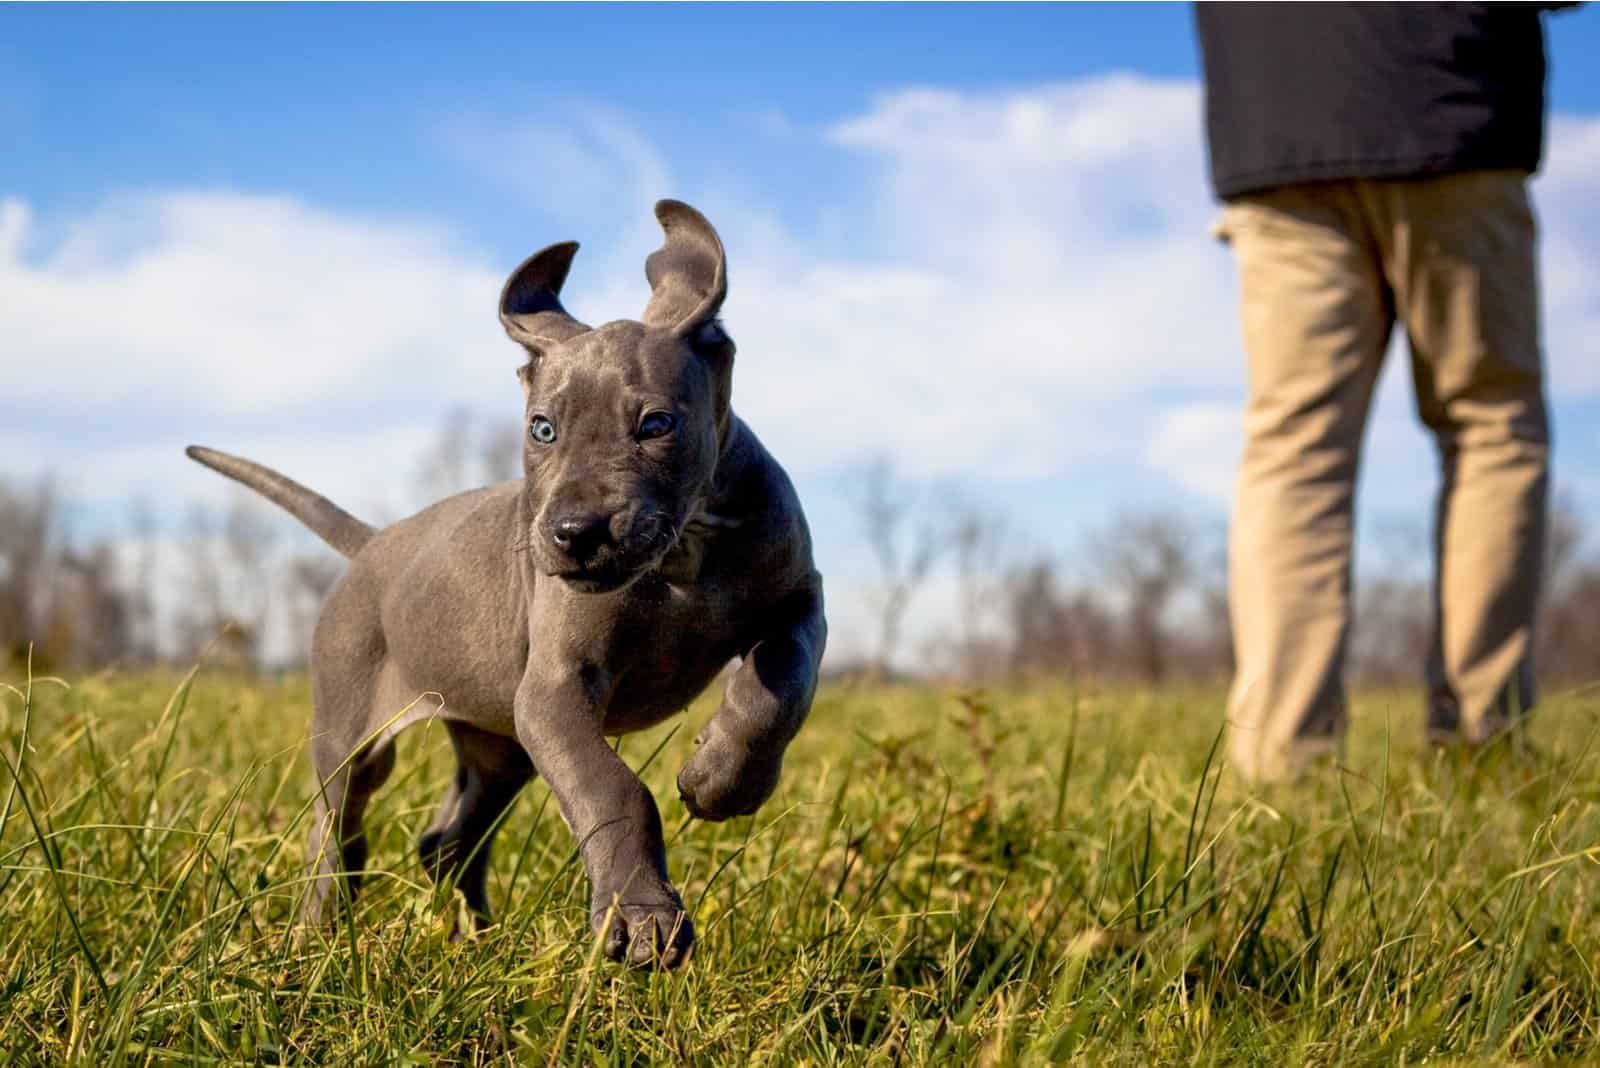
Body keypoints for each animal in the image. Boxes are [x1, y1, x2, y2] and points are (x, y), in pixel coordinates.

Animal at [190, 199, 825, 965]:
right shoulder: (553, 688)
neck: (684, 556)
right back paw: (317, 942)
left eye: (656, 424)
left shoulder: (801, 600)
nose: (576, 533)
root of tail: (372, 544)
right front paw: (641, 916)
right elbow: (610, 788)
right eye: (542, 429)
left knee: (448, 842)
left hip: (498, 746)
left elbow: (780, 686)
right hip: (353, 728)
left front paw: (722, 779)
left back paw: (483, 944)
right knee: (337, 831)